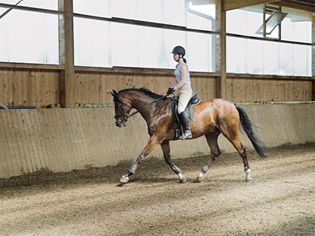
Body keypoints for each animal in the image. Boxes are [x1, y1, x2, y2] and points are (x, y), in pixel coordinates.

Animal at [111, 87, 266, 183]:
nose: (118, 122)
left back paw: (248, 174)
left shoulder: (155, 138)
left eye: (118, 104)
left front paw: (126, 176)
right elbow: (168, 159)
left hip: (229, 132)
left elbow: (141, 156)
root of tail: (232, 104)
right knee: (215, 152)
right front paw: (181, 176)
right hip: (211, 134)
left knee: (241, 150)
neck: (155, 109)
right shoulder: (163, 140)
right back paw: (200, 175)